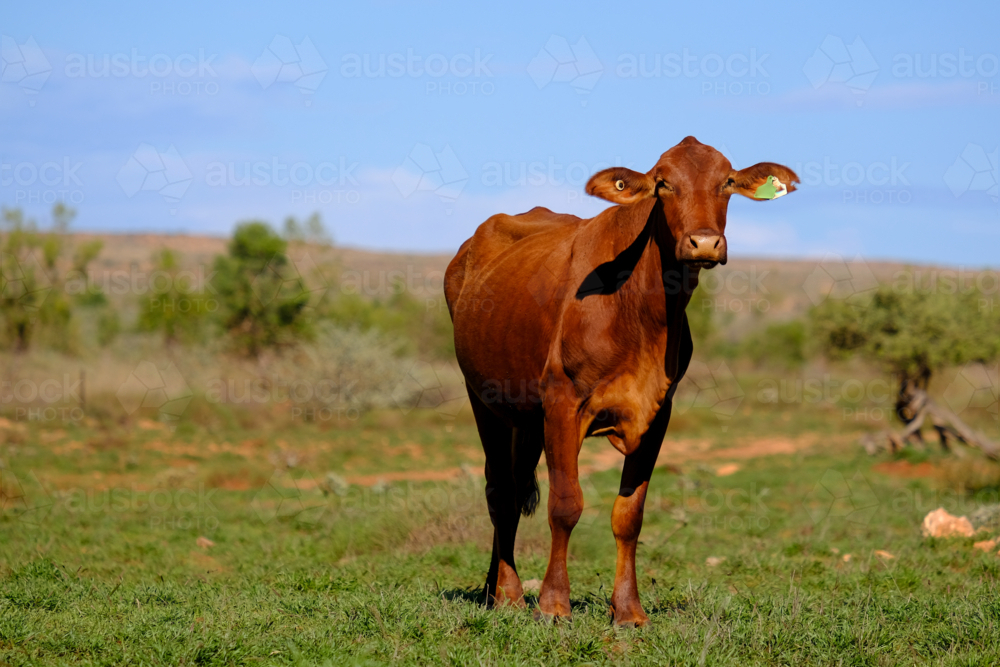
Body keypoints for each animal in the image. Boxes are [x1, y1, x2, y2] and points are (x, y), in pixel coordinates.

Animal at [443, 136, 798, 626]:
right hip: (484, 400)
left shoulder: (657, 412)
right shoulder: (563, 402)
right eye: (663, 184)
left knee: (513, 491)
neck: (644, 313)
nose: (705, 242)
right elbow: (566, 505)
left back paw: (493, 587)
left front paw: (628, 610)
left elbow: (630, 514)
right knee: (500, 492)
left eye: (726, 181)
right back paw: (509, 593)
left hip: (524, 417)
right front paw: (554, 604)